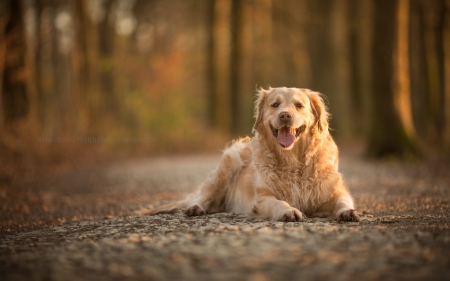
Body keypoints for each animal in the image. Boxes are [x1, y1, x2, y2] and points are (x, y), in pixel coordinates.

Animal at [146, 86, 360, 221]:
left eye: (299, 105)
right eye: (275, 105)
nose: (285, 115)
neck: (292, 160)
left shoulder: (335, 190)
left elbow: (343, 200)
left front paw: (348, 212)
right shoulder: (262, 198)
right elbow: (279, 202)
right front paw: (289, 211)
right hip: (228, 163)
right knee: (204, 196)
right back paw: (195, 208)